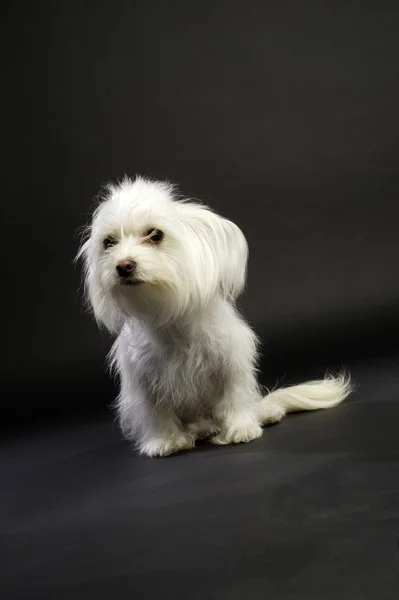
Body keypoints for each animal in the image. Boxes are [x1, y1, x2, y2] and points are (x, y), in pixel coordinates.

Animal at [77, 176, 350, 458]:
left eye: (155, 235)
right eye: (109, 243)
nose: (123, 266)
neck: (171, 319)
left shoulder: (230, 361)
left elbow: (234, 396)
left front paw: (241, 428)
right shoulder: (144, 378)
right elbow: (156, 411)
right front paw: (166, 441)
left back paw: (262, 414)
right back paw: (200, 430)